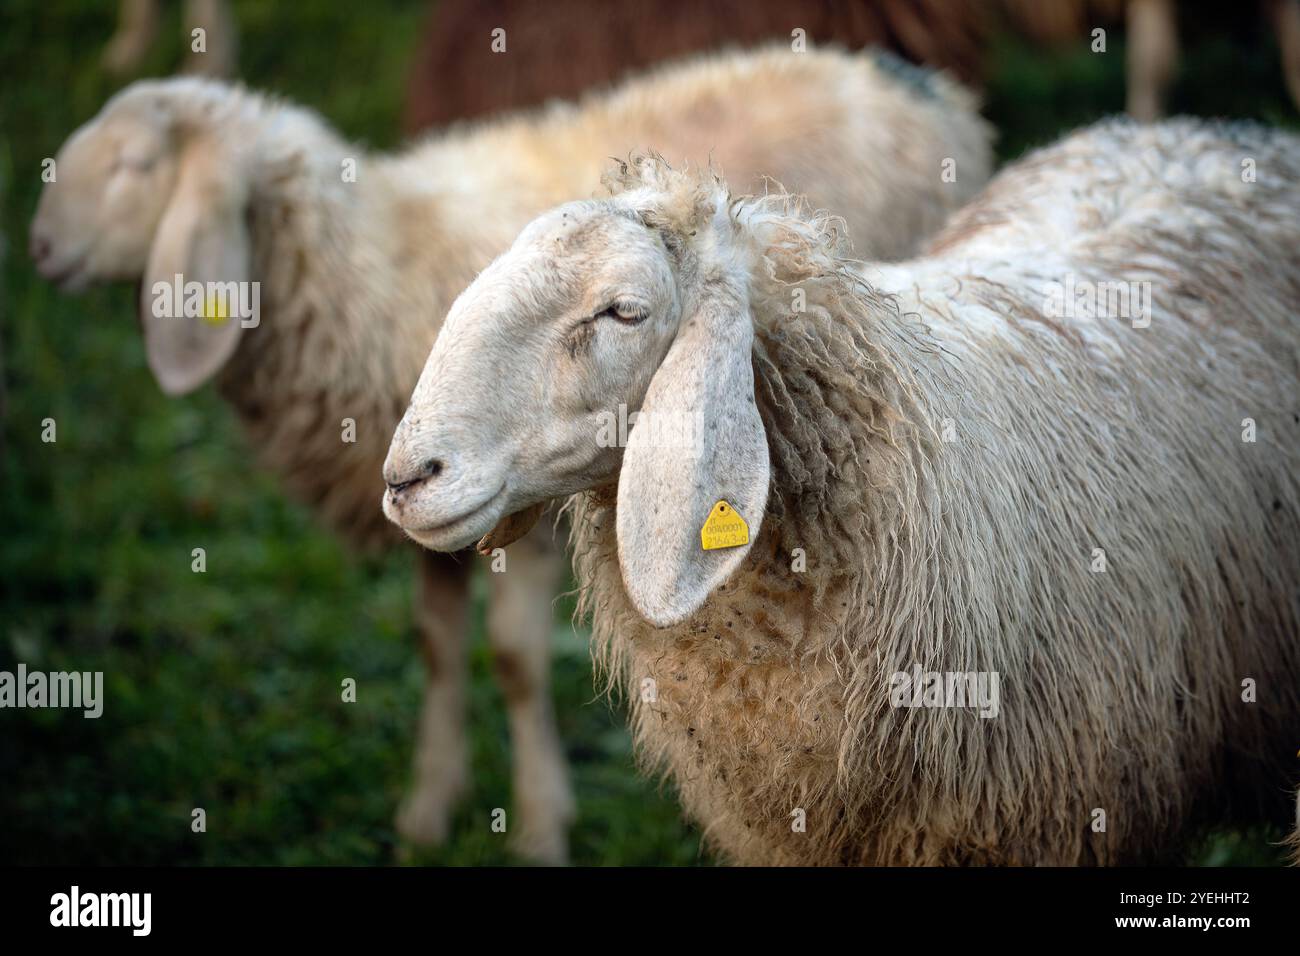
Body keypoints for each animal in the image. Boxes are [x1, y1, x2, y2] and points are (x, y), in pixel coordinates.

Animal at [27, 46, 982, 868]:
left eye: (134, 166)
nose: (35, 248)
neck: (365, 259)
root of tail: (908, 75)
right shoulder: (440, 518)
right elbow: (436, 645)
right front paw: (426, 809)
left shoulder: (522, 514)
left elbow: (518, 664)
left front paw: (539, 825)